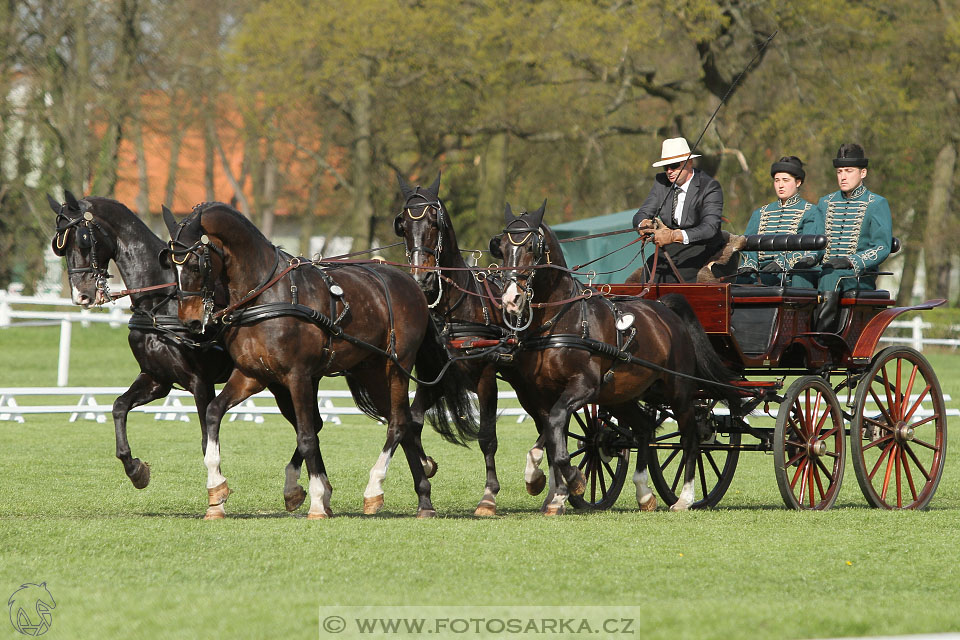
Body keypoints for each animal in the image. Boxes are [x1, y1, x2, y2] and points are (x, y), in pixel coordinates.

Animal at [165, 202, 480, 516]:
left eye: (194, 264)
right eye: (171, 265)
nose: (191, 322)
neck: (265, 294)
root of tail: (412, 284)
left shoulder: (298, 376)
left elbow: (307, 436)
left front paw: (317, 500)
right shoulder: (252, 375)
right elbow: (213, 413)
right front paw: (216, 492)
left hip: (396, 367)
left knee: (398, 424)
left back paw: (375, 488)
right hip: (372, 372)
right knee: (403, 423)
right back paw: (423, 498)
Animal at [392, 171, 544, 516]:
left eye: (434, 223)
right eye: (403, 226)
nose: (421, 279)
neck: (455, 308)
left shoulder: (486, 378)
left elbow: (487, 436)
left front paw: (489, 496)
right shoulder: (436, 378)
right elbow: (415, 421)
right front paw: (427, 464)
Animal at [492, 202, 740, 512]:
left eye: (531, 248)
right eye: (501, 248)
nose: (510, 300)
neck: (560, 321)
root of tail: (665, 307)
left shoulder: (583, 387)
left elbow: (556, 431)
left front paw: (573, 481)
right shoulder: (539, 395)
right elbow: (550, 435)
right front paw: (544, 485)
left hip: (679, 391)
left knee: (691, 437)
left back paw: (685, 498)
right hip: (621, 395)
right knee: (644, 427)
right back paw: (644, 493)